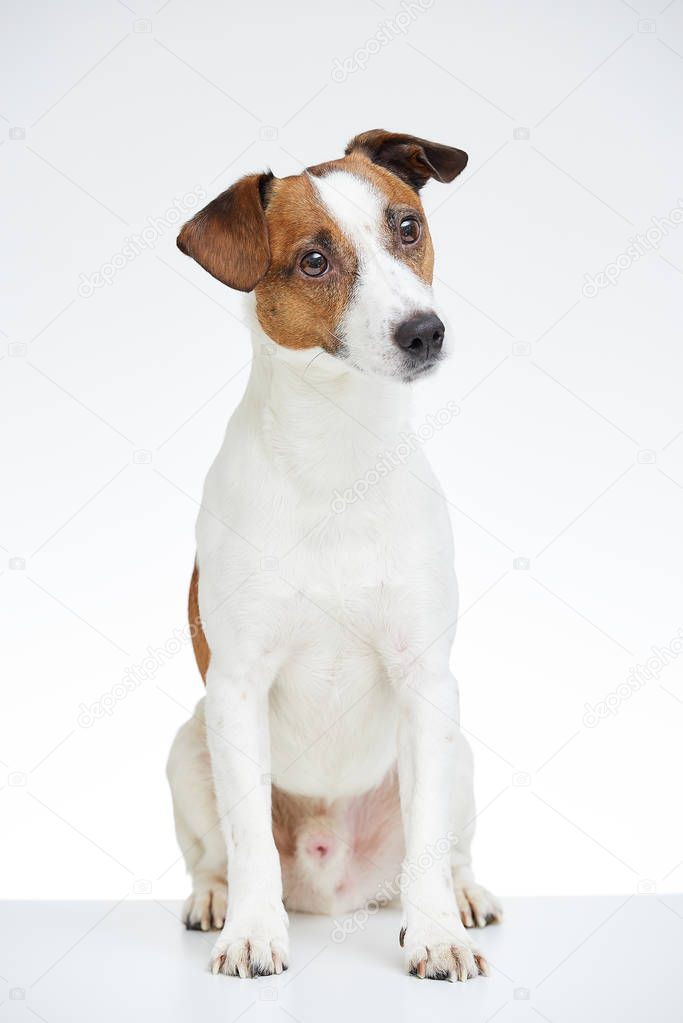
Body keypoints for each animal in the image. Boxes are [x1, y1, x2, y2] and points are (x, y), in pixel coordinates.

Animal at [166, 129, 501, 982]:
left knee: (443, 846)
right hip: (190, 745)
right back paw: (216, 898)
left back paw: (461, 894)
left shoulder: (424, 679)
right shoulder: (237, 687)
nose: (424, 331)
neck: (338, 458)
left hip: (458, 750)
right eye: (313, 260)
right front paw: (253, 930)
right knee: (217, 852)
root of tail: (335, 887)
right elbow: (248, 837)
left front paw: (435, 934)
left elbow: (426, 840)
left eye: (407, 226)